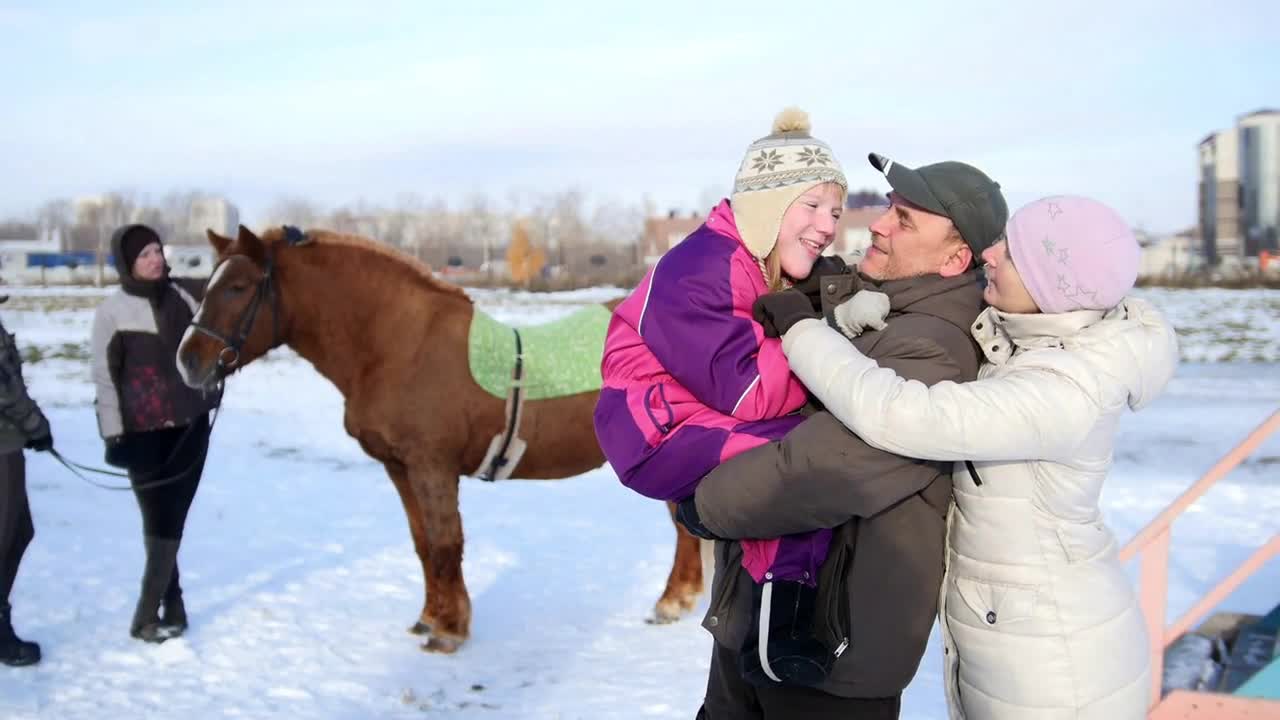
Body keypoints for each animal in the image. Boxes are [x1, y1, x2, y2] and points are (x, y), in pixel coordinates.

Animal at [171, 224, 706, 650]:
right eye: (206, 283)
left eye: (238, 286)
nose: (188, 362)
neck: (397, 344)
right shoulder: (400, 468)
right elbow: (424, 544)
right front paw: (430, 618)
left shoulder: (432, 466)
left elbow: (447, 544)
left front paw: (449, 630)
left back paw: (672, 602)